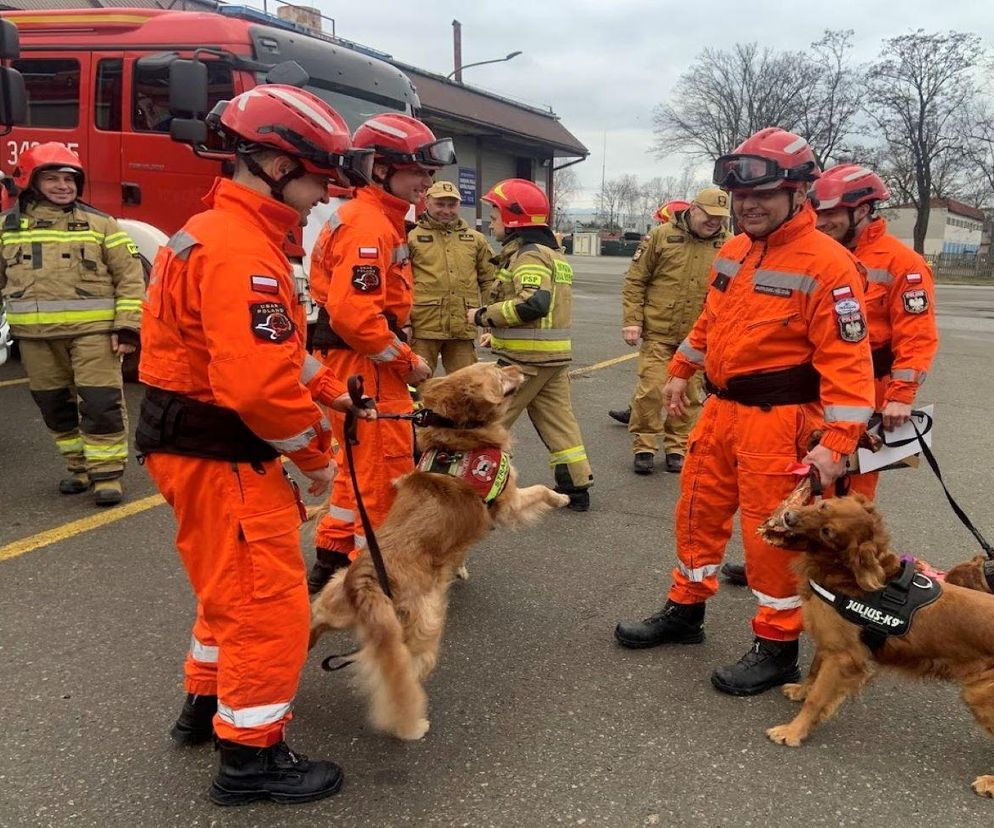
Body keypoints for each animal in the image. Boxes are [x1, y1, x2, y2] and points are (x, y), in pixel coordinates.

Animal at [306, 366, 568, 740]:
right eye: (497, 371)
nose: (520, 368)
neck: (457, 434)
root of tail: (366, 578)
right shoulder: (509, 501)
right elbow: (541, 490)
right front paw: (562, 498)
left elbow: (459, 553)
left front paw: (460, 568)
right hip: (426, 621)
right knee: (405, 671)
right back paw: (413, 720)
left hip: (332, 605)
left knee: (314, 623)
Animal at [756, 494, 992, 800]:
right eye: (823, 506)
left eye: (828, 532)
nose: (788, 517)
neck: (846, 575)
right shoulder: (833, 644)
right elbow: (814, 670)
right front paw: (801, 690)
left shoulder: (844, 658)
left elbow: (817, 698)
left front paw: (793, 731)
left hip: (981, 695)